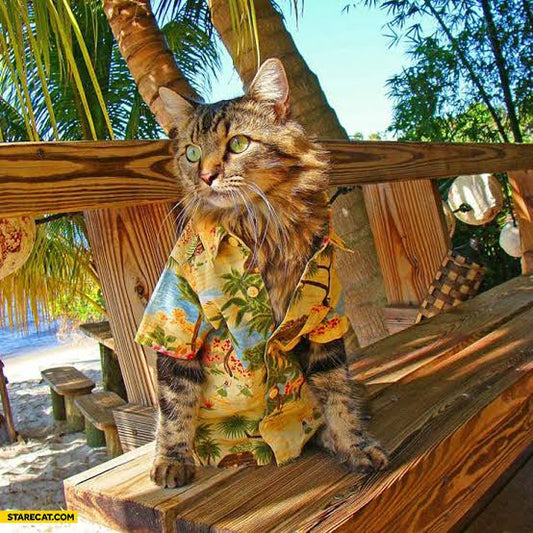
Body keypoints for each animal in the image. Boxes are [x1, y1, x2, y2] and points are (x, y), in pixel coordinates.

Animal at [145, 57, 386, 486]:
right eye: (192, 153)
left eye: (238, 144)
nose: (206, 176)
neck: (258, 225)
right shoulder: (177, 323)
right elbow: (174, 403)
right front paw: (171, 459)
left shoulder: (322, 321)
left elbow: (338, 395)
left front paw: (355, 444)